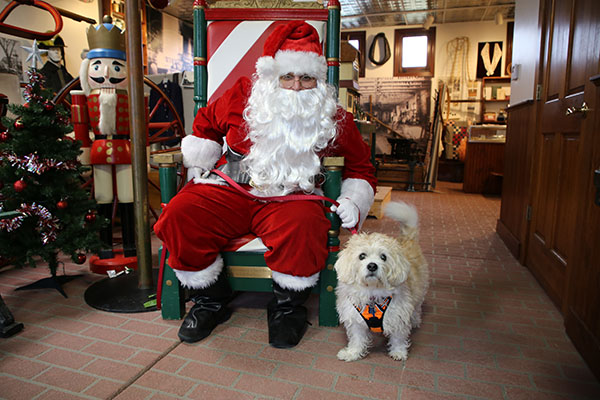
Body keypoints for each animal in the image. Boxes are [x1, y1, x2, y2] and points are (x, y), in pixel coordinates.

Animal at [336, 202, 428, 360]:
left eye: (383, 257)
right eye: (362, 256)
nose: (372, 265)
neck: (372, 292)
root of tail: (408, 239)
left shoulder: (399, 318)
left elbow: (398, 339)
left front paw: (398, 352)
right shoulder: (355, 321)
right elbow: (357, 339)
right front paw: (353, 353)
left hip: (419, 290)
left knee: (417, 307)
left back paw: (415, 320)